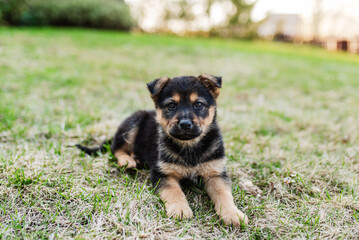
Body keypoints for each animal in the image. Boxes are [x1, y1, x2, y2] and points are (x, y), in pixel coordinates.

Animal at [77, 74, 249, 226]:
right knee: (116, 149)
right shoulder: (162, 173)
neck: (190, 147)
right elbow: (174, 191)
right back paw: (128, 161)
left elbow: (224, 193)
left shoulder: (216, 173)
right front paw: (180, 209)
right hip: (134, 122)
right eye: (171, 105)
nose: (185, 124)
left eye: (198, 104)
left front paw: (233, 214)